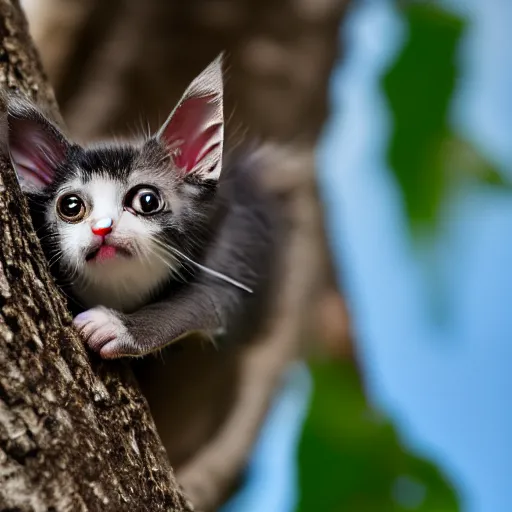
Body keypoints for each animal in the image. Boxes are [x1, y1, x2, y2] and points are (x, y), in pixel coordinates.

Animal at [4, 56, 278, 358]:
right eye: (71, 205)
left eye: (147, 201)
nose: (102, 228)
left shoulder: (236, 235)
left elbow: (207, 299)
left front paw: (119, 327)